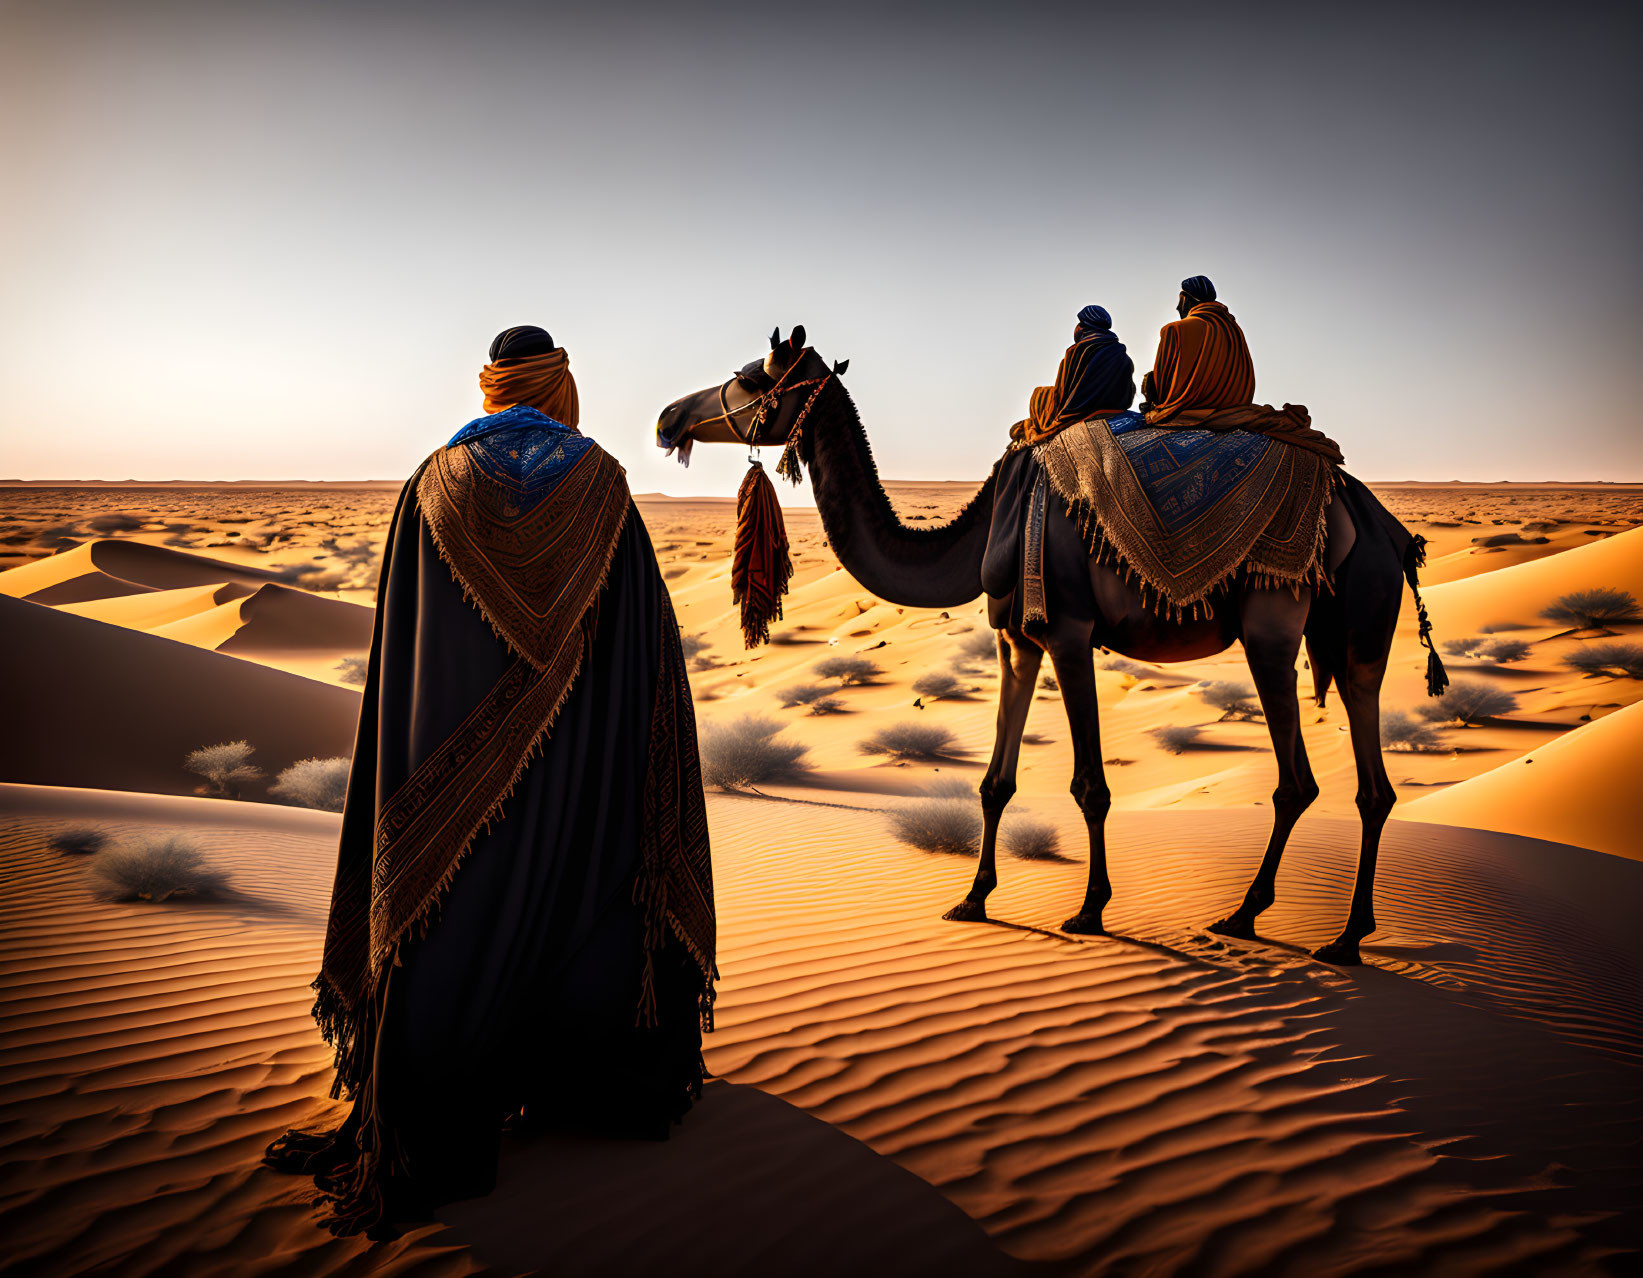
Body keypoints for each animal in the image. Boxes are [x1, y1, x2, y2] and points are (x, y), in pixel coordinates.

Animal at [653, 323, 1426, 959]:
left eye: (752, 377)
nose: (666, 418)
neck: (978, 532)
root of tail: (1387, 529)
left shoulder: (1069, 631)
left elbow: (1090, 785)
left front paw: (1089, 910)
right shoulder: (1015, 638)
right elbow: (995, 780)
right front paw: (971, 899)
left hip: (1271, 627)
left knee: (1297, 780)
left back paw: (1255, 919)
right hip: (1354, 638)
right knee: (1370, 779)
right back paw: (1343, 934)